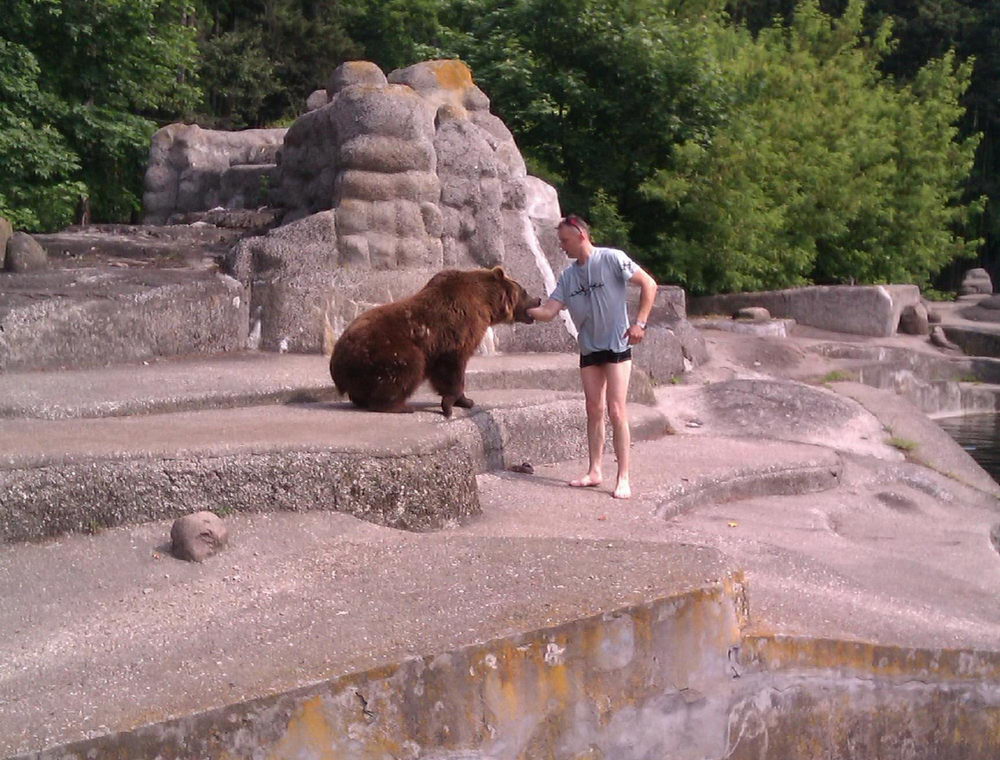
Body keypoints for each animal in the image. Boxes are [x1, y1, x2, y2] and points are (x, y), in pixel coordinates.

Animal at [332, 268, 540, 418]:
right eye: (524, 291)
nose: (538, 299)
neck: (486, 304)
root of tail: (337, 361)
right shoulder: (457, 332)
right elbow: (453, 368)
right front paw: (455, 403)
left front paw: (463, 400)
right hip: (384, 351)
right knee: (408, 366)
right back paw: (399, 406)